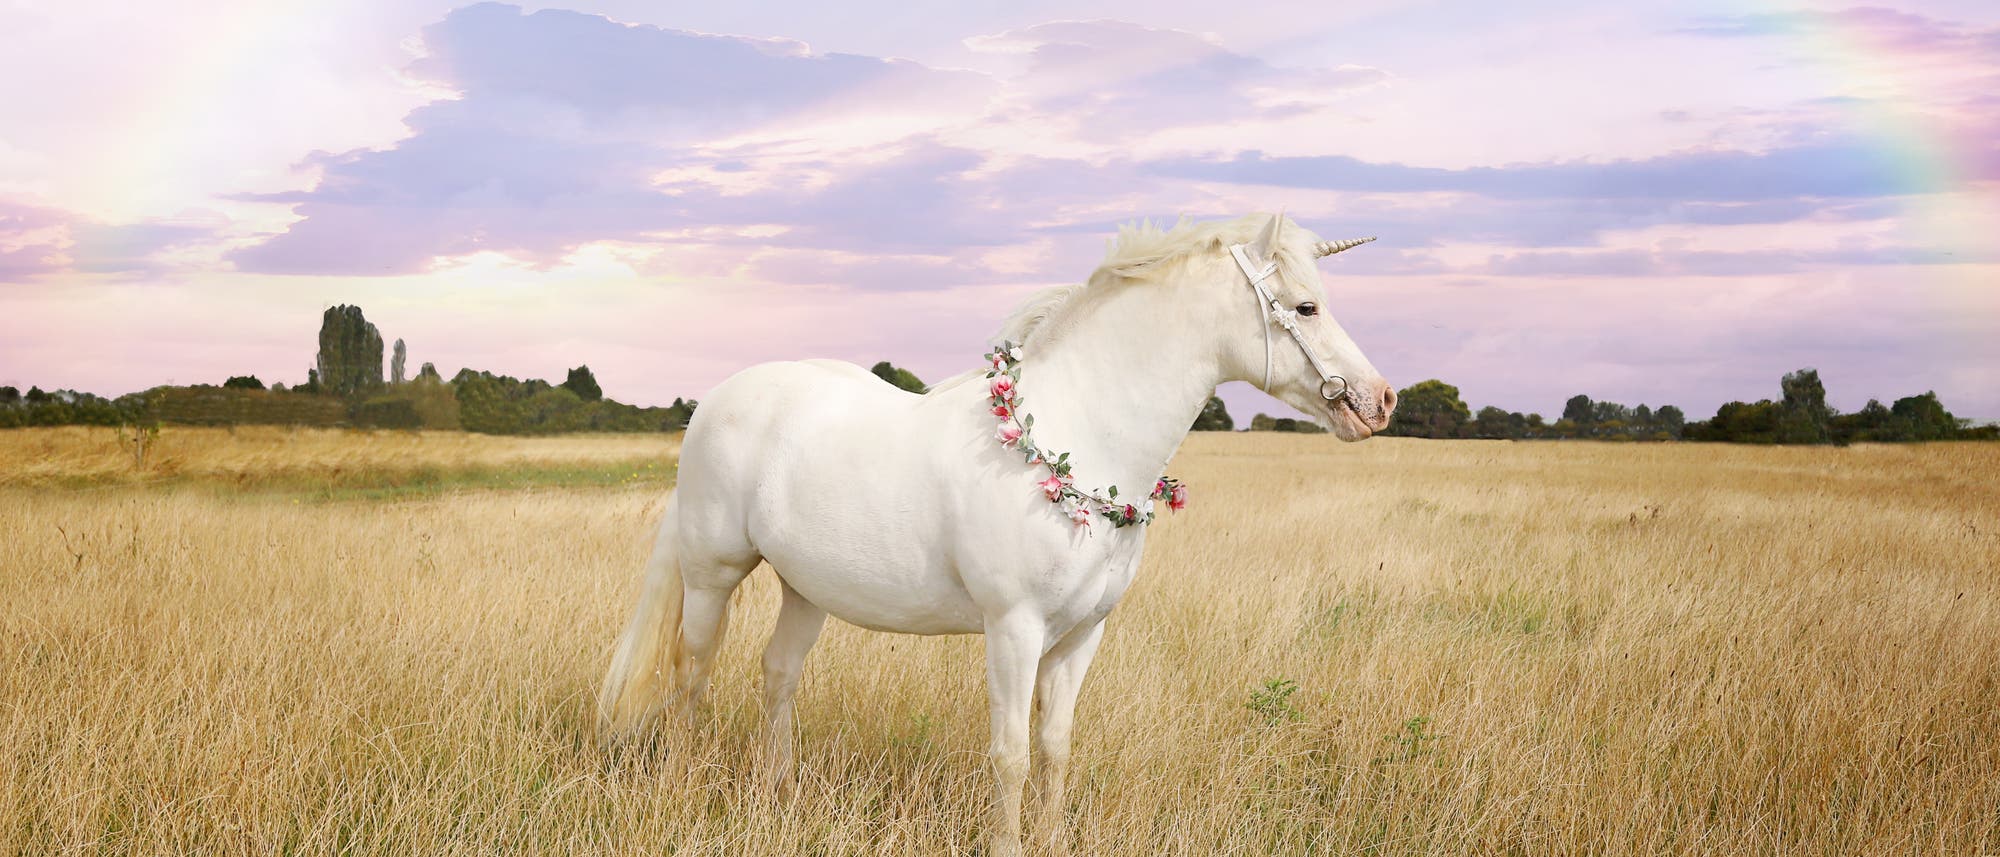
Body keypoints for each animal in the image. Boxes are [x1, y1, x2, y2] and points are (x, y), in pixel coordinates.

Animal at [600, 211, 1400, 852]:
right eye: (1306, 306)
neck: (1076, 434)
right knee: (691, 675)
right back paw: (682, 786)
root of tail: (714, 402)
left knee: (777, 675)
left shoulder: (1082, 636)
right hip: (712, 576)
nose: (1379, 401)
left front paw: (1053, 840)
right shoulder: (1014, 628)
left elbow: (1055, 747)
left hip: (806, 589)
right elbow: (1011, 753)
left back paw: (780, 796)